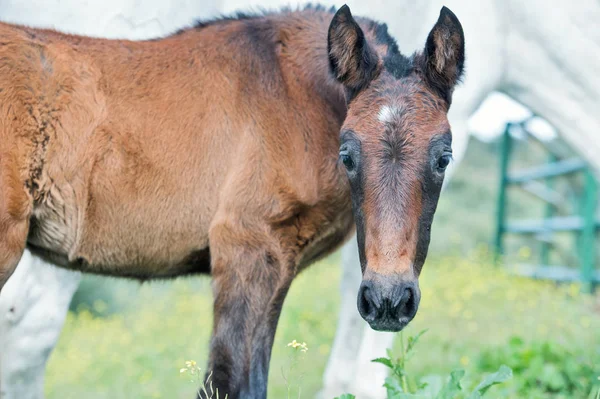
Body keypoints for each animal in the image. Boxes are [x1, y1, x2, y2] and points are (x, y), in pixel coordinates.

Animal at [0, 0, 596, 399]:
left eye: (443, 157)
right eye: (347, 154)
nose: (388, 301)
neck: (290, 96)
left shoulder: (278, 263)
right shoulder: (245, 247)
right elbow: (232, 381)